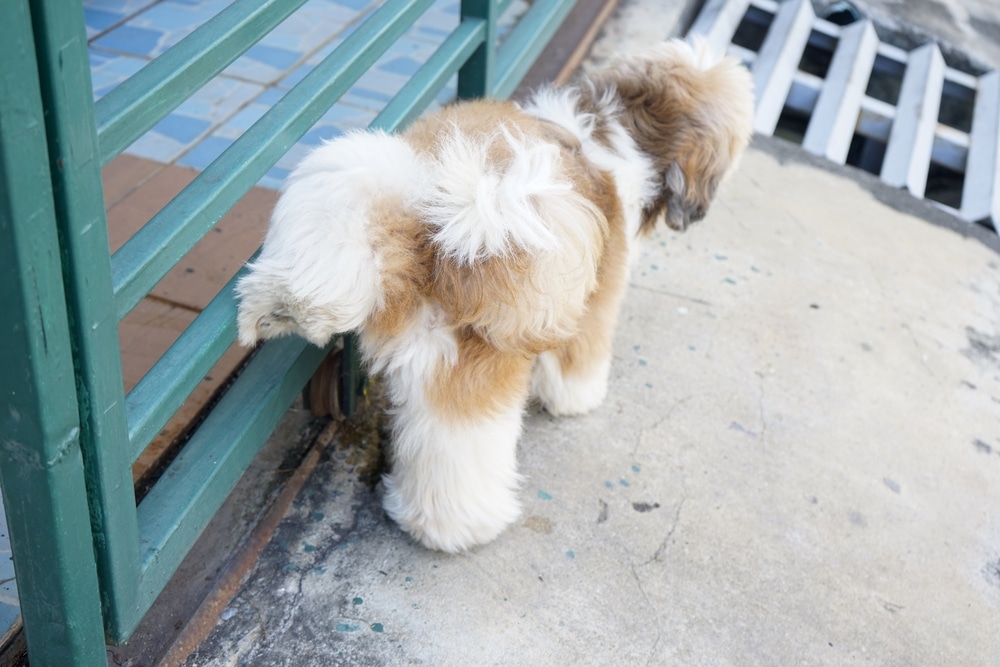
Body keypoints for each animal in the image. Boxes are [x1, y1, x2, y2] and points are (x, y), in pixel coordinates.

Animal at [234, 39, 752, 556]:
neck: (617, 126)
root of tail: (459, 226)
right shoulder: (599, 294)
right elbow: (578, 360)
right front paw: (575, 398)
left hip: (381, 194)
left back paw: (280, 306)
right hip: (475, 360)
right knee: (463, 445)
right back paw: (458, 528)